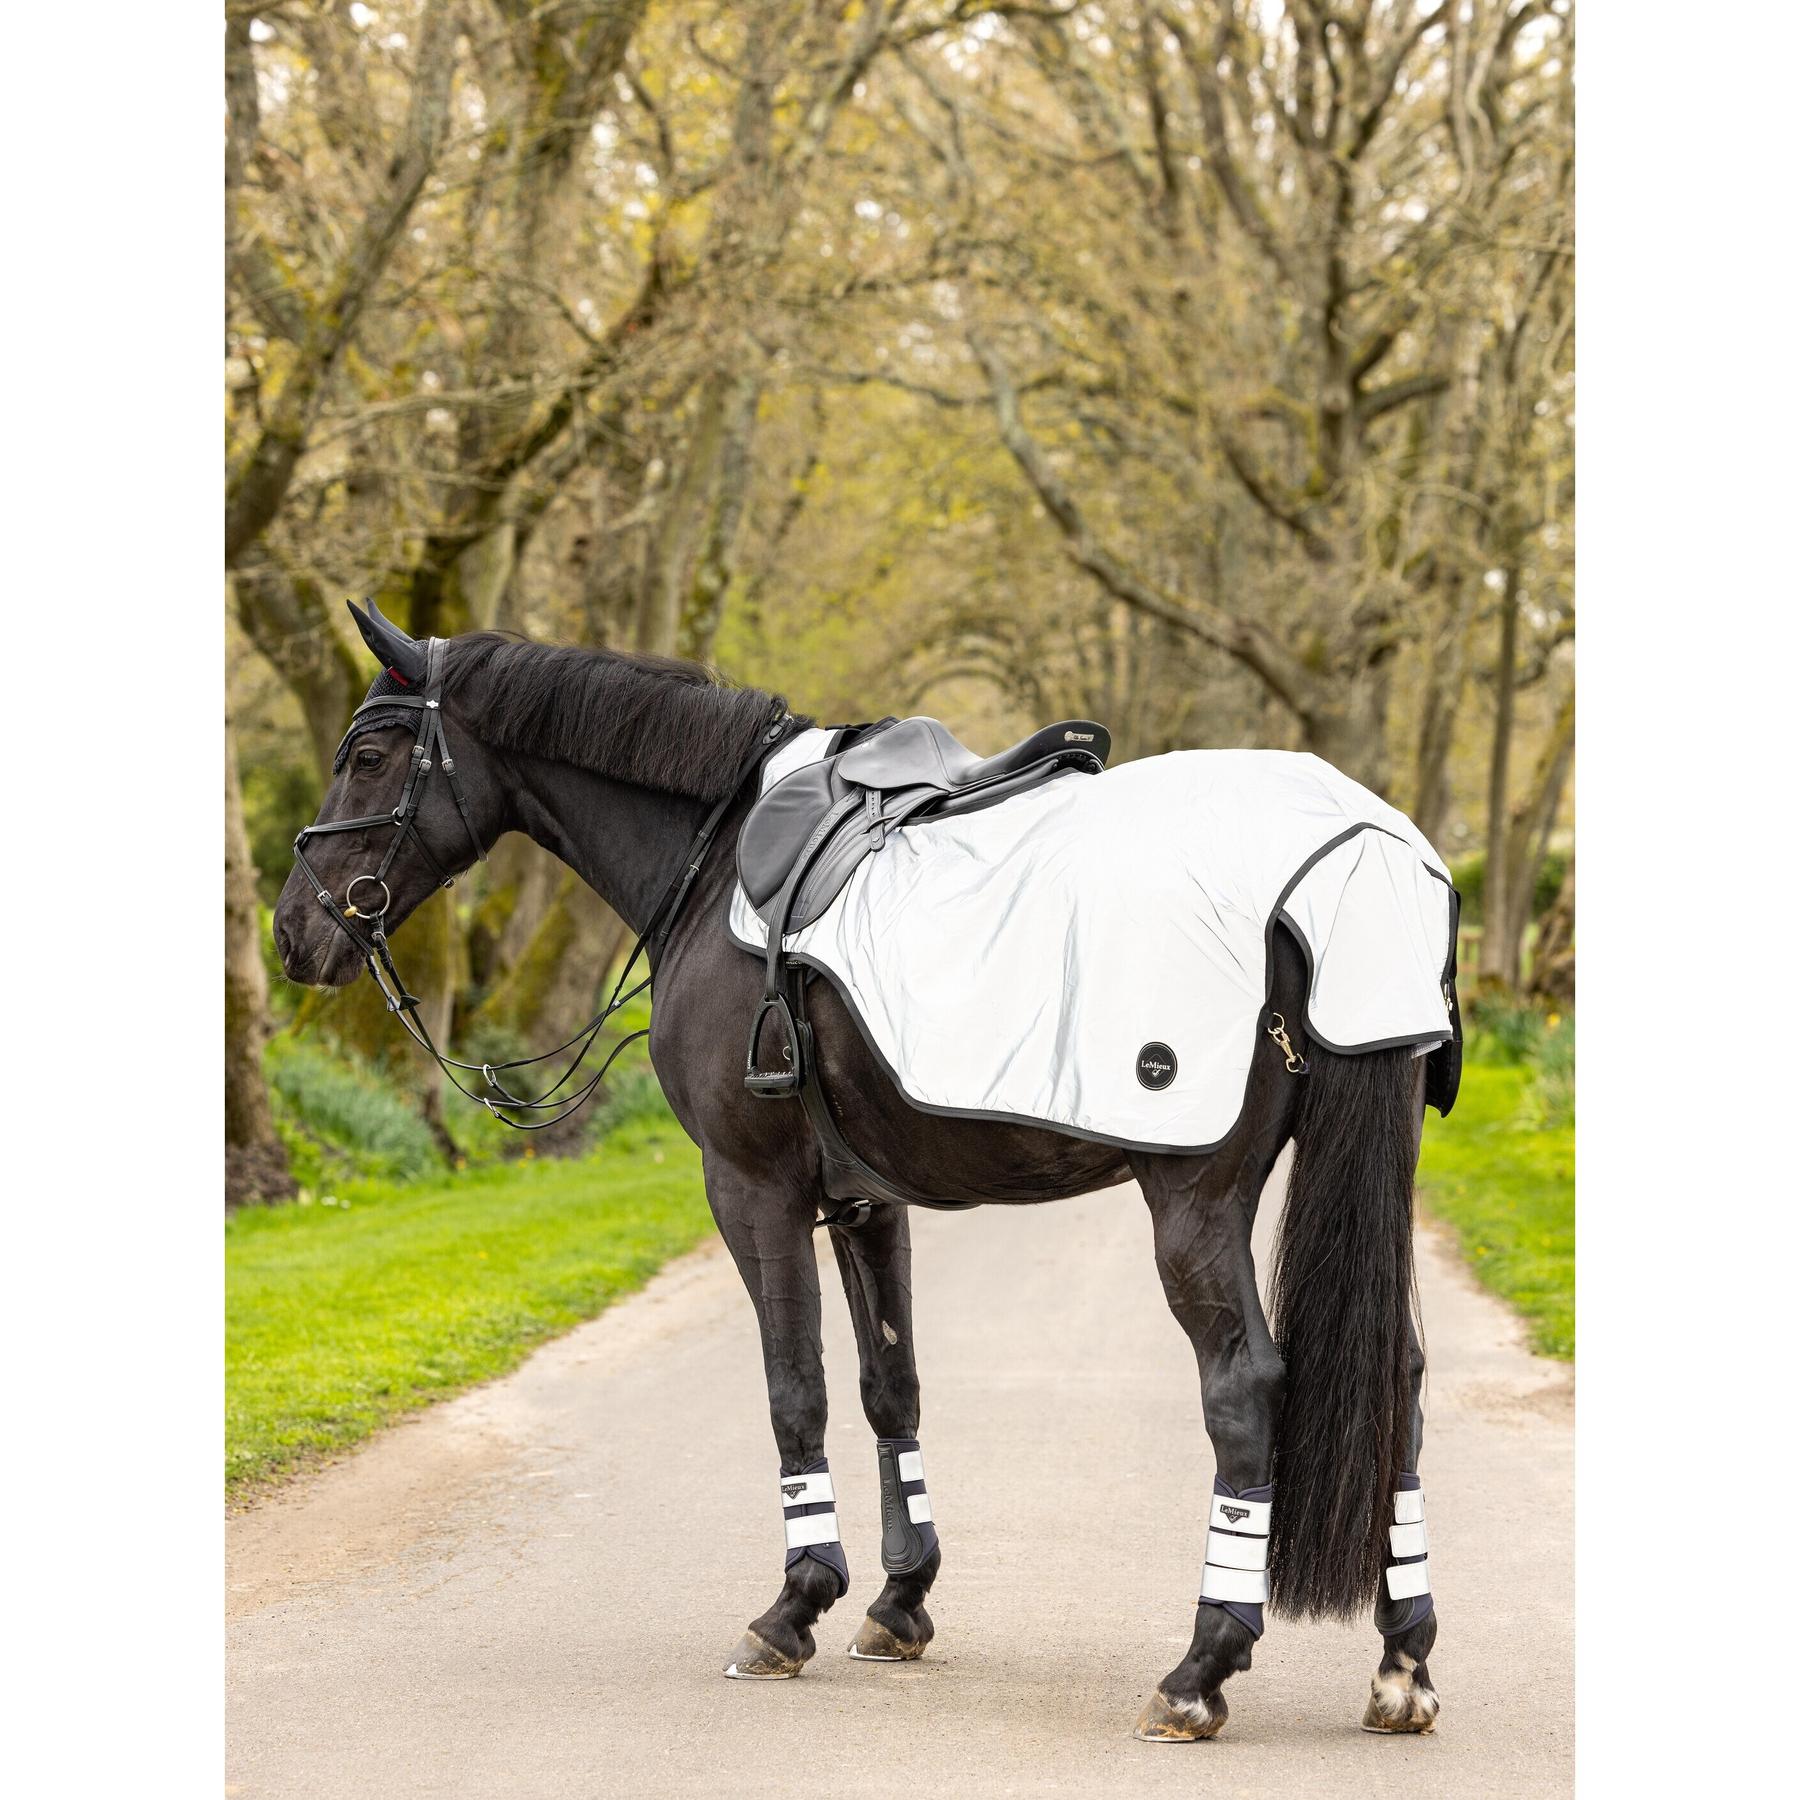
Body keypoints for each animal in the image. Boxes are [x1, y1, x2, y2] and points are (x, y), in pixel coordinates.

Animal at [271, 608, 1444, 1741]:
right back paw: (1402, 1662)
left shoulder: (751, 1188)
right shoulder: (866, 1199)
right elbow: (892, 1386)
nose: (292, 932)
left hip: (1194, 1197)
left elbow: (796, 1388)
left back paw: (1201, 1669)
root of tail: (1353, 855)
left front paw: (795, 1603)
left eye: (368, 756)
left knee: (1244, 1390)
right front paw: (899, 1599)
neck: (715, 854)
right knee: (1400, 1376)